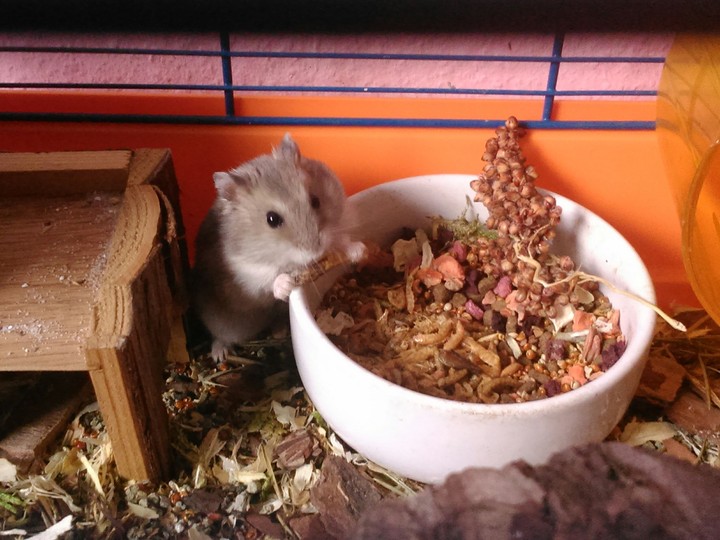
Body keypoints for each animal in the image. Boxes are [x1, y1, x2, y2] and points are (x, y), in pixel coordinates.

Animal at [191, 134, 365, 361]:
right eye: (272, 219)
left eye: (315, 201)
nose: (316, 250)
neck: (285, 255)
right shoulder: (245, 271)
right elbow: (268, 278)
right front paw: (286, 285)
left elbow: (339, 240)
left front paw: (359, 249)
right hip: (227, 324)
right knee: (221, 336)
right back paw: (219, 354)